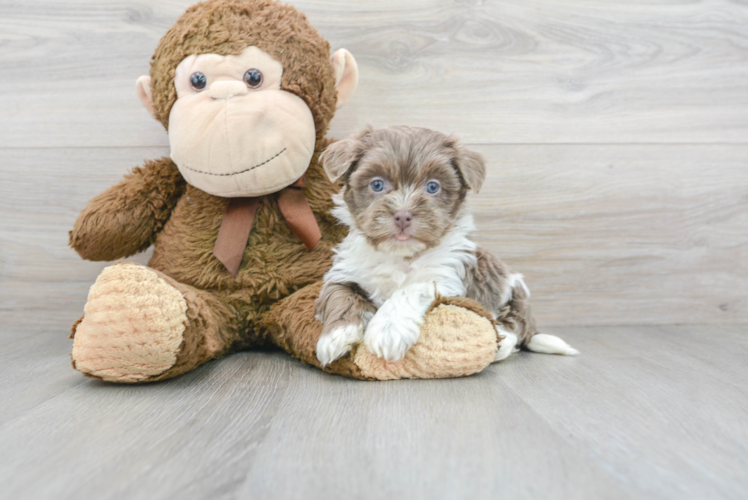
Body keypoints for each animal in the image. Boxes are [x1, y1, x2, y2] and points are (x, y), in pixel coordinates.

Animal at [312, 127, 576, 366]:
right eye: (377, 185)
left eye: (432, 187)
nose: (403, 215)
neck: (401, 255)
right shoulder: (347, 271)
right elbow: (339, 293)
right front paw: (336, 336)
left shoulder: (446, 278)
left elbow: (411, 289)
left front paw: (387, 330)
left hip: (514, 294)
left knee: (514, 327)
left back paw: (501, 345)